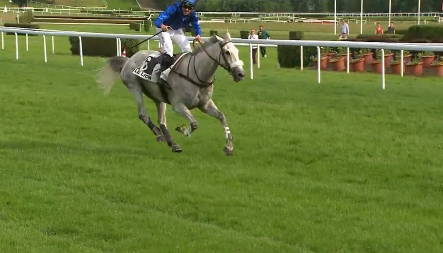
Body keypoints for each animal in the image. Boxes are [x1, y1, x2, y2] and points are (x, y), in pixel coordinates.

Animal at [96, 32, 246, 155]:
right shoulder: (178, 105)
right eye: (227, 52)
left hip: (157, 96)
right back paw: (159, 134)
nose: (240, 74)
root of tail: (129, 59)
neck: (196, 74)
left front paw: (229, 147)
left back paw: (172, 143)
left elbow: (222, 117)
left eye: (237, 51)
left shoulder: (205, 104)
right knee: (143, 114)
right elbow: (194, 124)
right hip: (135, 87)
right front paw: (183, 130)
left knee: (162, 120)